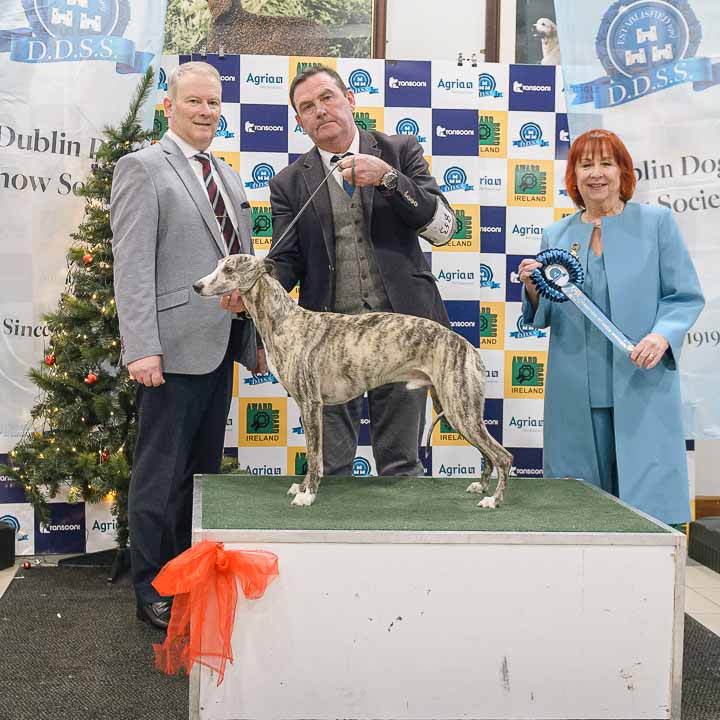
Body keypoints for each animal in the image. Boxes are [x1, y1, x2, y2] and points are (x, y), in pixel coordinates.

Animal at [194, 254, 513, 508]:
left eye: (229, 270)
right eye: (218, 265)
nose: (197, 286)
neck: (285, 320)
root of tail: (468, 347)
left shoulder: (311, 403)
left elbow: (315, 456)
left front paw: (308, 494)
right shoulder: (305, 405)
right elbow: (312, 453)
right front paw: (302, 487)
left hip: (460, 410)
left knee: (503, 456)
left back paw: (494, 500)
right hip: (454, 409)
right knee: (488, 454)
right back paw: (481, 487)